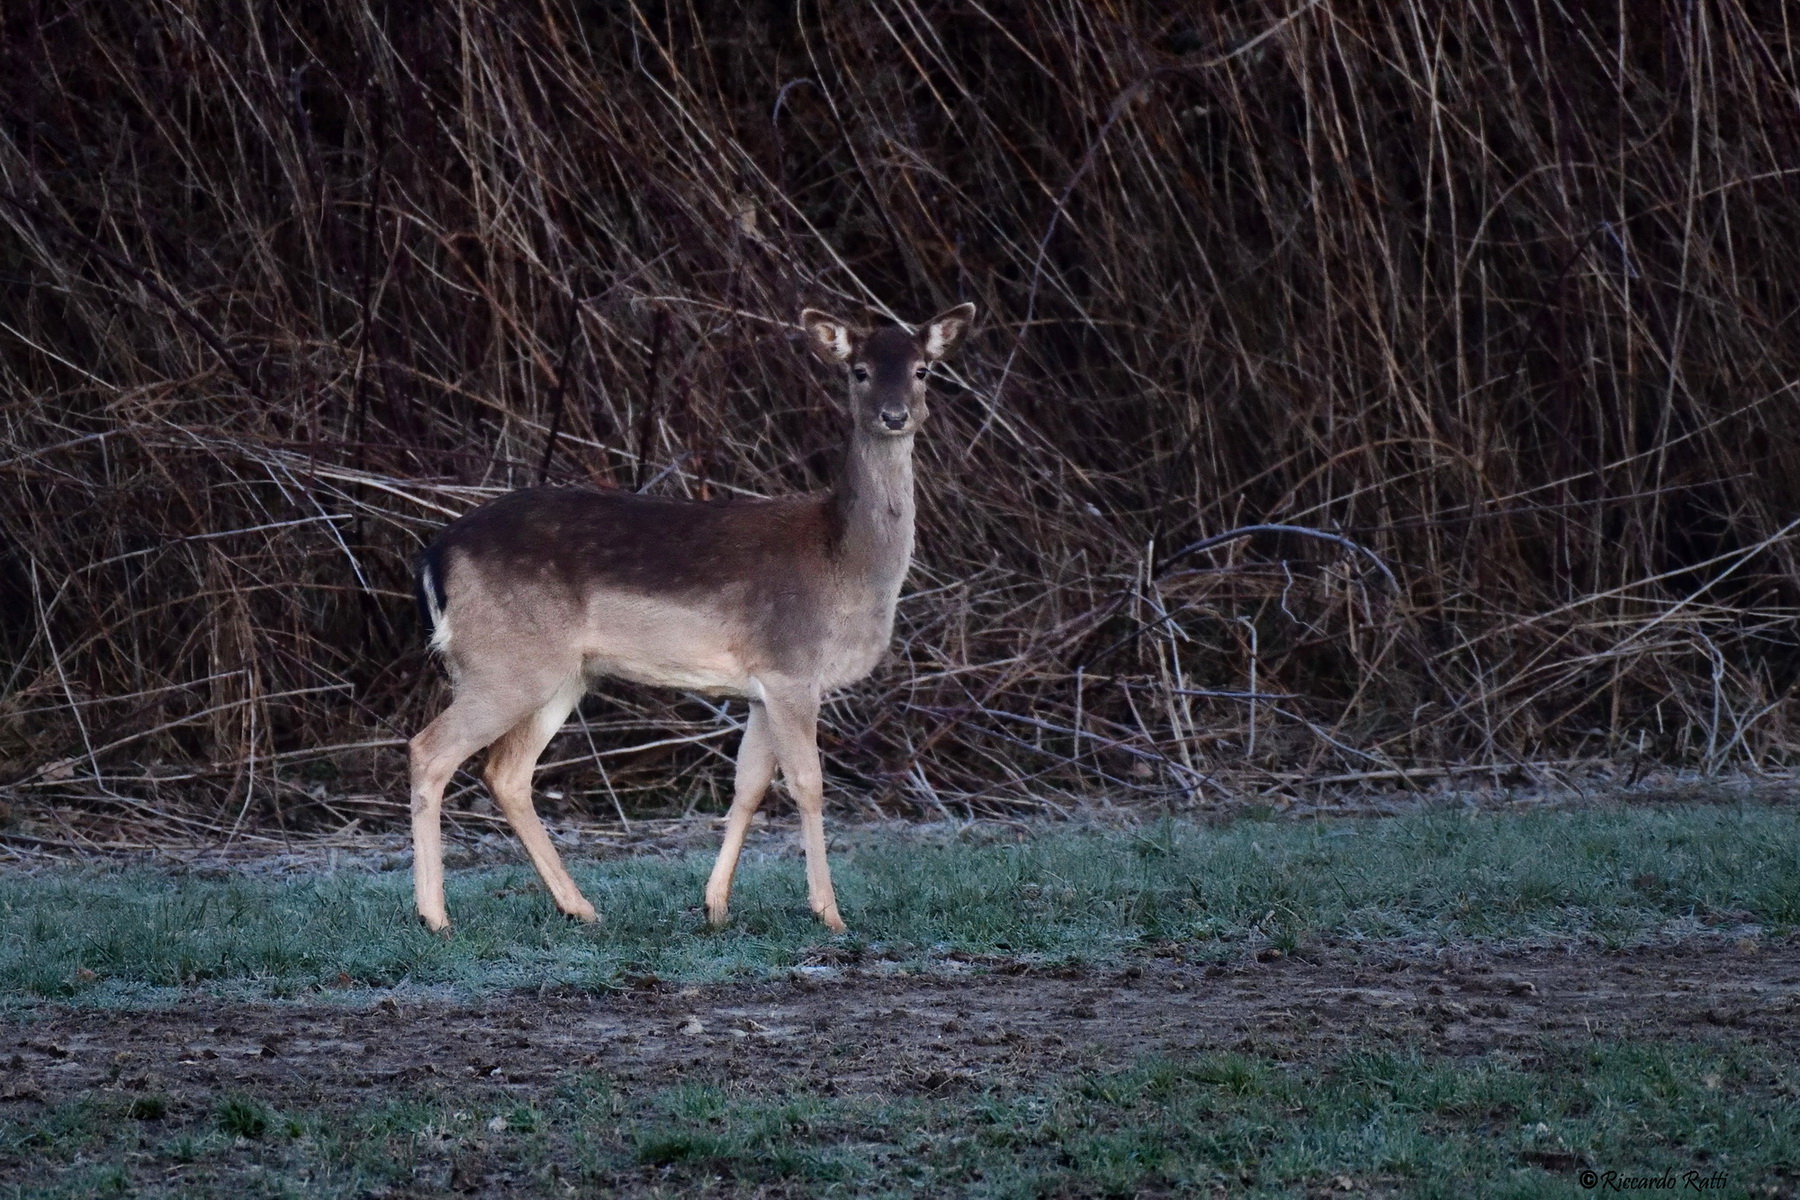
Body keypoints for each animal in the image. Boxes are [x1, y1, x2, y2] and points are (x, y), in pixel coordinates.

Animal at [407, 302, 977, 934]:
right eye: (859, 370)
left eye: (923, 370)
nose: (894, 415)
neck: (846, 568)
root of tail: (436, 557)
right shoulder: (791, 666)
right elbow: (808, 784)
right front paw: (830, 914)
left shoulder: (761, 687)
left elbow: (748, 787)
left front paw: (716, 905)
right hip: (505, 663)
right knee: (429, 751)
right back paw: (435, 917)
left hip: (560, 674)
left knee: (506, 772)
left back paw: (581, 907)